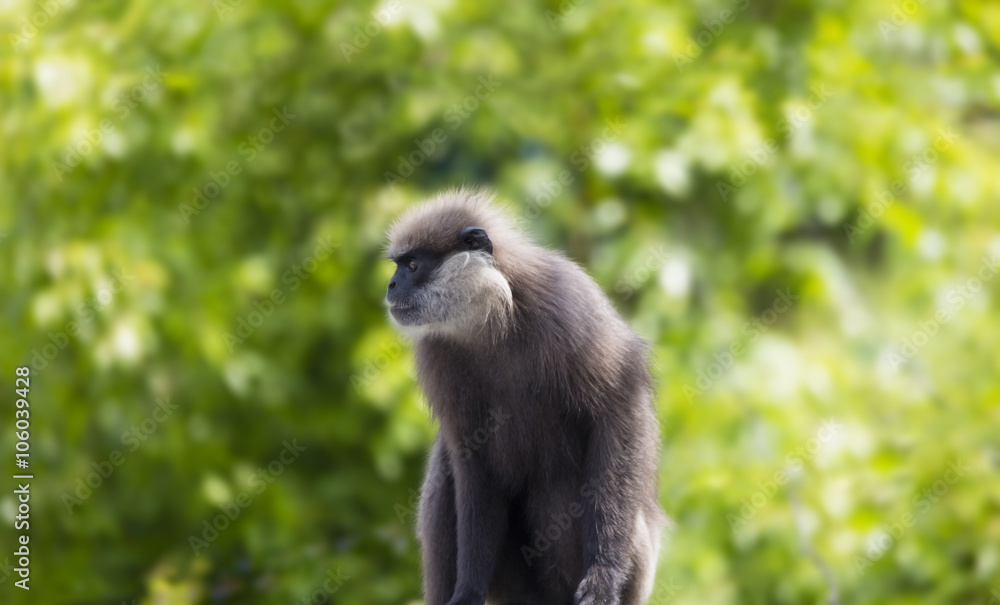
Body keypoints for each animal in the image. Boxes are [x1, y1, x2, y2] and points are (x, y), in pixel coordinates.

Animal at [384, 188, 666, 605]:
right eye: (399, 265)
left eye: (413, 264)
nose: (390, 285)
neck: (492, 322)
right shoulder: (437, 354)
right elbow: (472, 461)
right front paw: (467, 592)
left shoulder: (567, 302)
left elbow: (619, 412)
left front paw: (603, 576)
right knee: (445, 473)